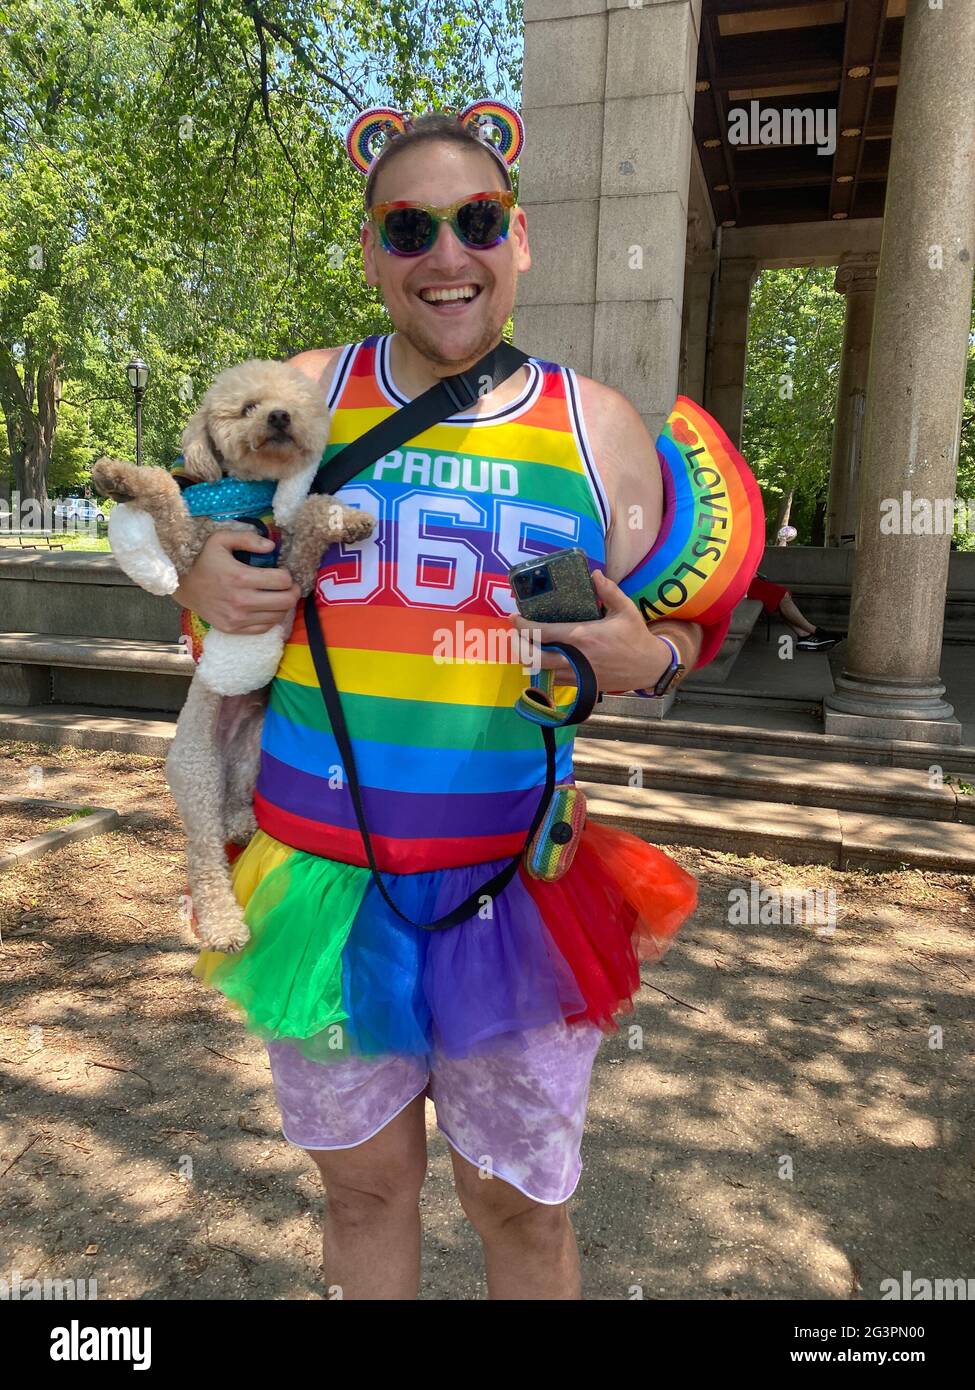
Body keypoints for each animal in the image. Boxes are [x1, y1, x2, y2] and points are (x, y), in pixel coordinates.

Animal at [95, 361, 375, 956]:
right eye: (246, 408)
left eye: (291, 403)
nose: (279, 416)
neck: (245, 503)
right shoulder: (188, 550)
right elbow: (167, 494)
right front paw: (120, 476)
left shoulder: (291, 574)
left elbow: (311, 511)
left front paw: (350, 519)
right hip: (197, 776)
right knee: (202, 858)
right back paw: (224, 924)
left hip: (249, 755)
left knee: (231, 811)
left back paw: (242, 824)